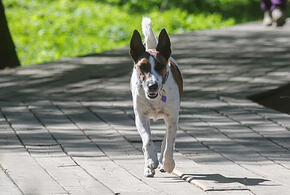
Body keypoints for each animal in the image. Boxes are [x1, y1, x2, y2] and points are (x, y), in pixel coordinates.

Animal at [130, 17, 182, 177]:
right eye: (142, 67)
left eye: (160, 66)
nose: (152, 85)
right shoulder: (140, 117)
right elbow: (147, 140)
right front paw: (151, 161)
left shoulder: (172, 118)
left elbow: (169, 143)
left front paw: (168, 163)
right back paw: (148, 167)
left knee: (166, 140)